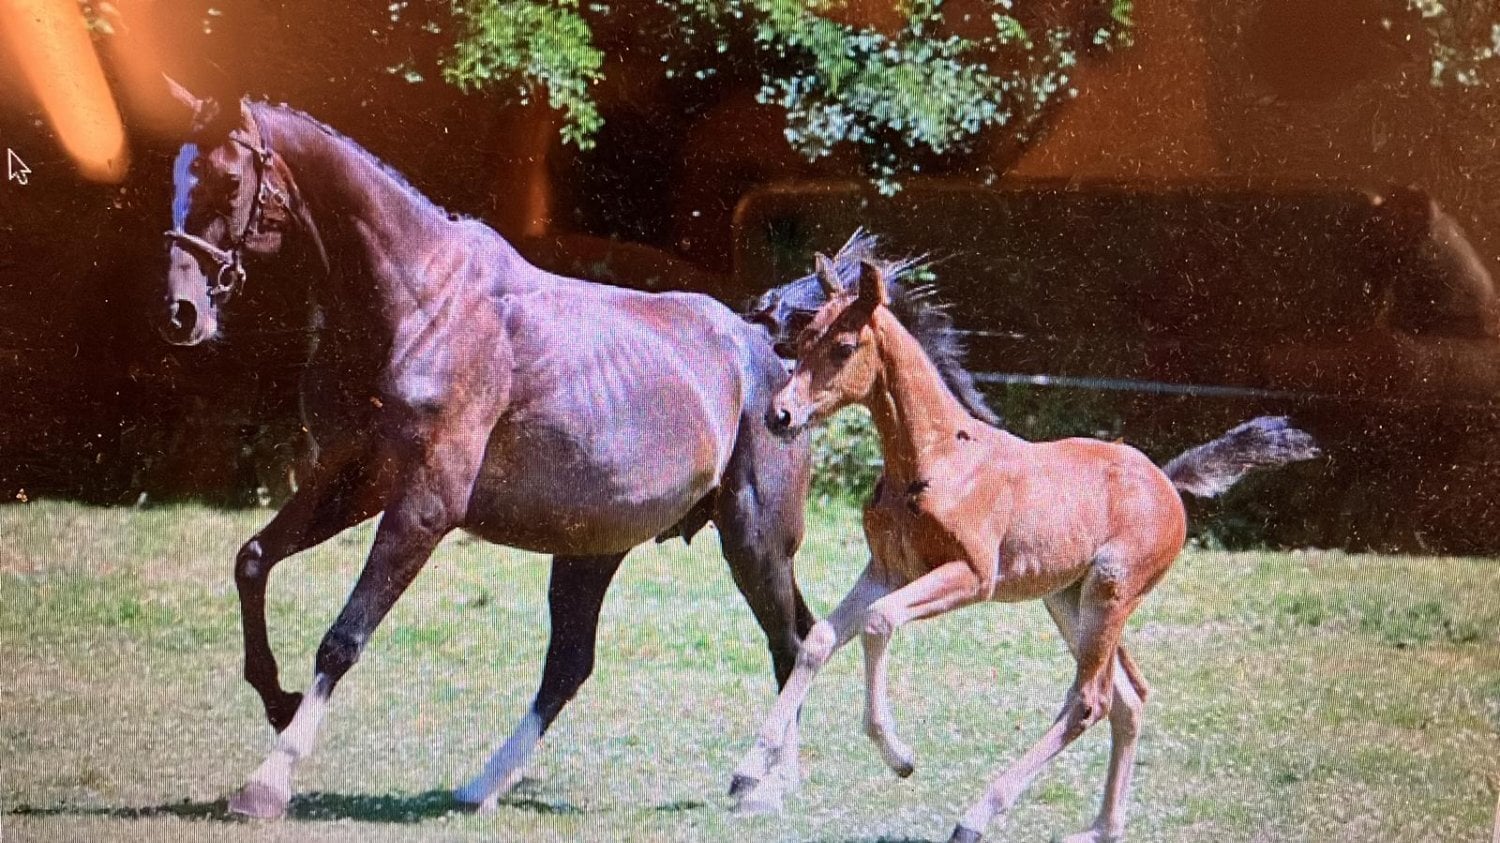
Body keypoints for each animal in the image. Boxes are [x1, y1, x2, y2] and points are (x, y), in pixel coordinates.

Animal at [157, 77, 826, 819]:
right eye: (175, 174)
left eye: (227, 177)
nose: (183, 311)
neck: (420, 302)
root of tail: (765, 346)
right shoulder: (354, 478)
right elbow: (251, 560)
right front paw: (278, 700)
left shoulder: (425, 505)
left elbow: (342, 639)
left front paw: (267, 782)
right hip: (593, 549)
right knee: (573, 665)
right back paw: (483, 786)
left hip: (753, 537)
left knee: (794, 640)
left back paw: (761, 781)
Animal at [729, 256, 1320, 842]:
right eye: (803, 340)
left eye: (844, 347)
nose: (779, 415)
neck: (937, 460)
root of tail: (1168, 482)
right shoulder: (888, 569)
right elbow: (819, 640)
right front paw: (748, 772)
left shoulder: (971, 576)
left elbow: (878, 621)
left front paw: (899, 755)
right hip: (1068, 599)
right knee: (1128, 698)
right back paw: (1100, 829)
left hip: (1111, 590)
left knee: (1089, 702)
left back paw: (976, 816)